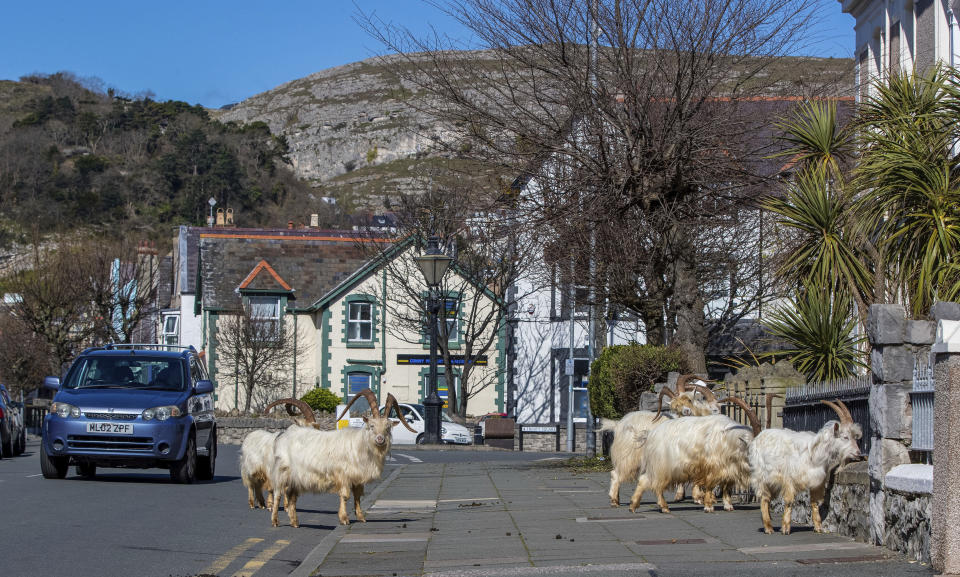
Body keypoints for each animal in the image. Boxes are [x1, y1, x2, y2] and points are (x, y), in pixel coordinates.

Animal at [266, 388, 412, 528]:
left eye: (388, 427)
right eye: (372, 426)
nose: (380, 439)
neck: (360, 445)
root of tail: (284, 435)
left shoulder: (357, 477)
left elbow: (357, 495)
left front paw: (361, 517)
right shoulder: (343, 475)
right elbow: (345, 495)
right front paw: (344, 519)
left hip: (295, 478)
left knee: (292, 497)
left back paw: (295, 522)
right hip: (282, 472)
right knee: (278, 494)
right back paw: (275, 521)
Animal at [628, 400, 760, 512]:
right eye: (751, 450)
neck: (727, 439)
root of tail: (651, 434)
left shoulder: (728, 469)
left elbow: (726, 487)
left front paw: (728, 506)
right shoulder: (711, 467)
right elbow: (710, 485)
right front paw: (708, 507)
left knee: (645, 480)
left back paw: (634, 506)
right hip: (661, 466)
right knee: (654, 483)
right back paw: (663, 507)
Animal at [752, 398, 864, 532]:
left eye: (854, 437)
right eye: (845, 437)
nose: (858, 453)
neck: (814, 454)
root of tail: (759, 437)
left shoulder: (817, 480)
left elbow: (814, 502)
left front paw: (818, 527)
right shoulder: (789, 478)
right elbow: (789, 501)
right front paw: (786, 528)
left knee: (767, 498)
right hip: (762, 476)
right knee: (764, 498)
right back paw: (768, 528)